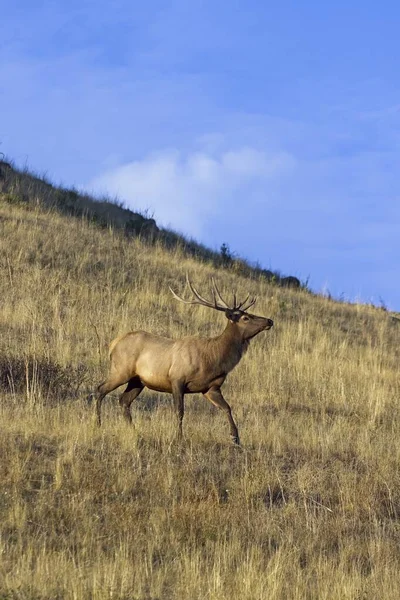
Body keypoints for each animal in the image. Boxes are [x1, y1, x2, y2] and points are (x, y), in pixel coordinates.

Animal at [95, 274, 274, 442]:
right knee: (100, 389)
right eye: (245, 317)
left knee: (124, 400)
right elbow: (180, 411)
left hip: (138, 380)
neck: (212, 359)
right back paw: (98, 423)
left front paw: (235, 438)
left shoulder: (211, 388)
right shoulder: (177, 378)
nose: (269, 321)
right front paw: (179, 437)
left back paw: (134, 431)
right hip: (121, 370)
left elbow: (227, 407)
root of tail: (113, 344)